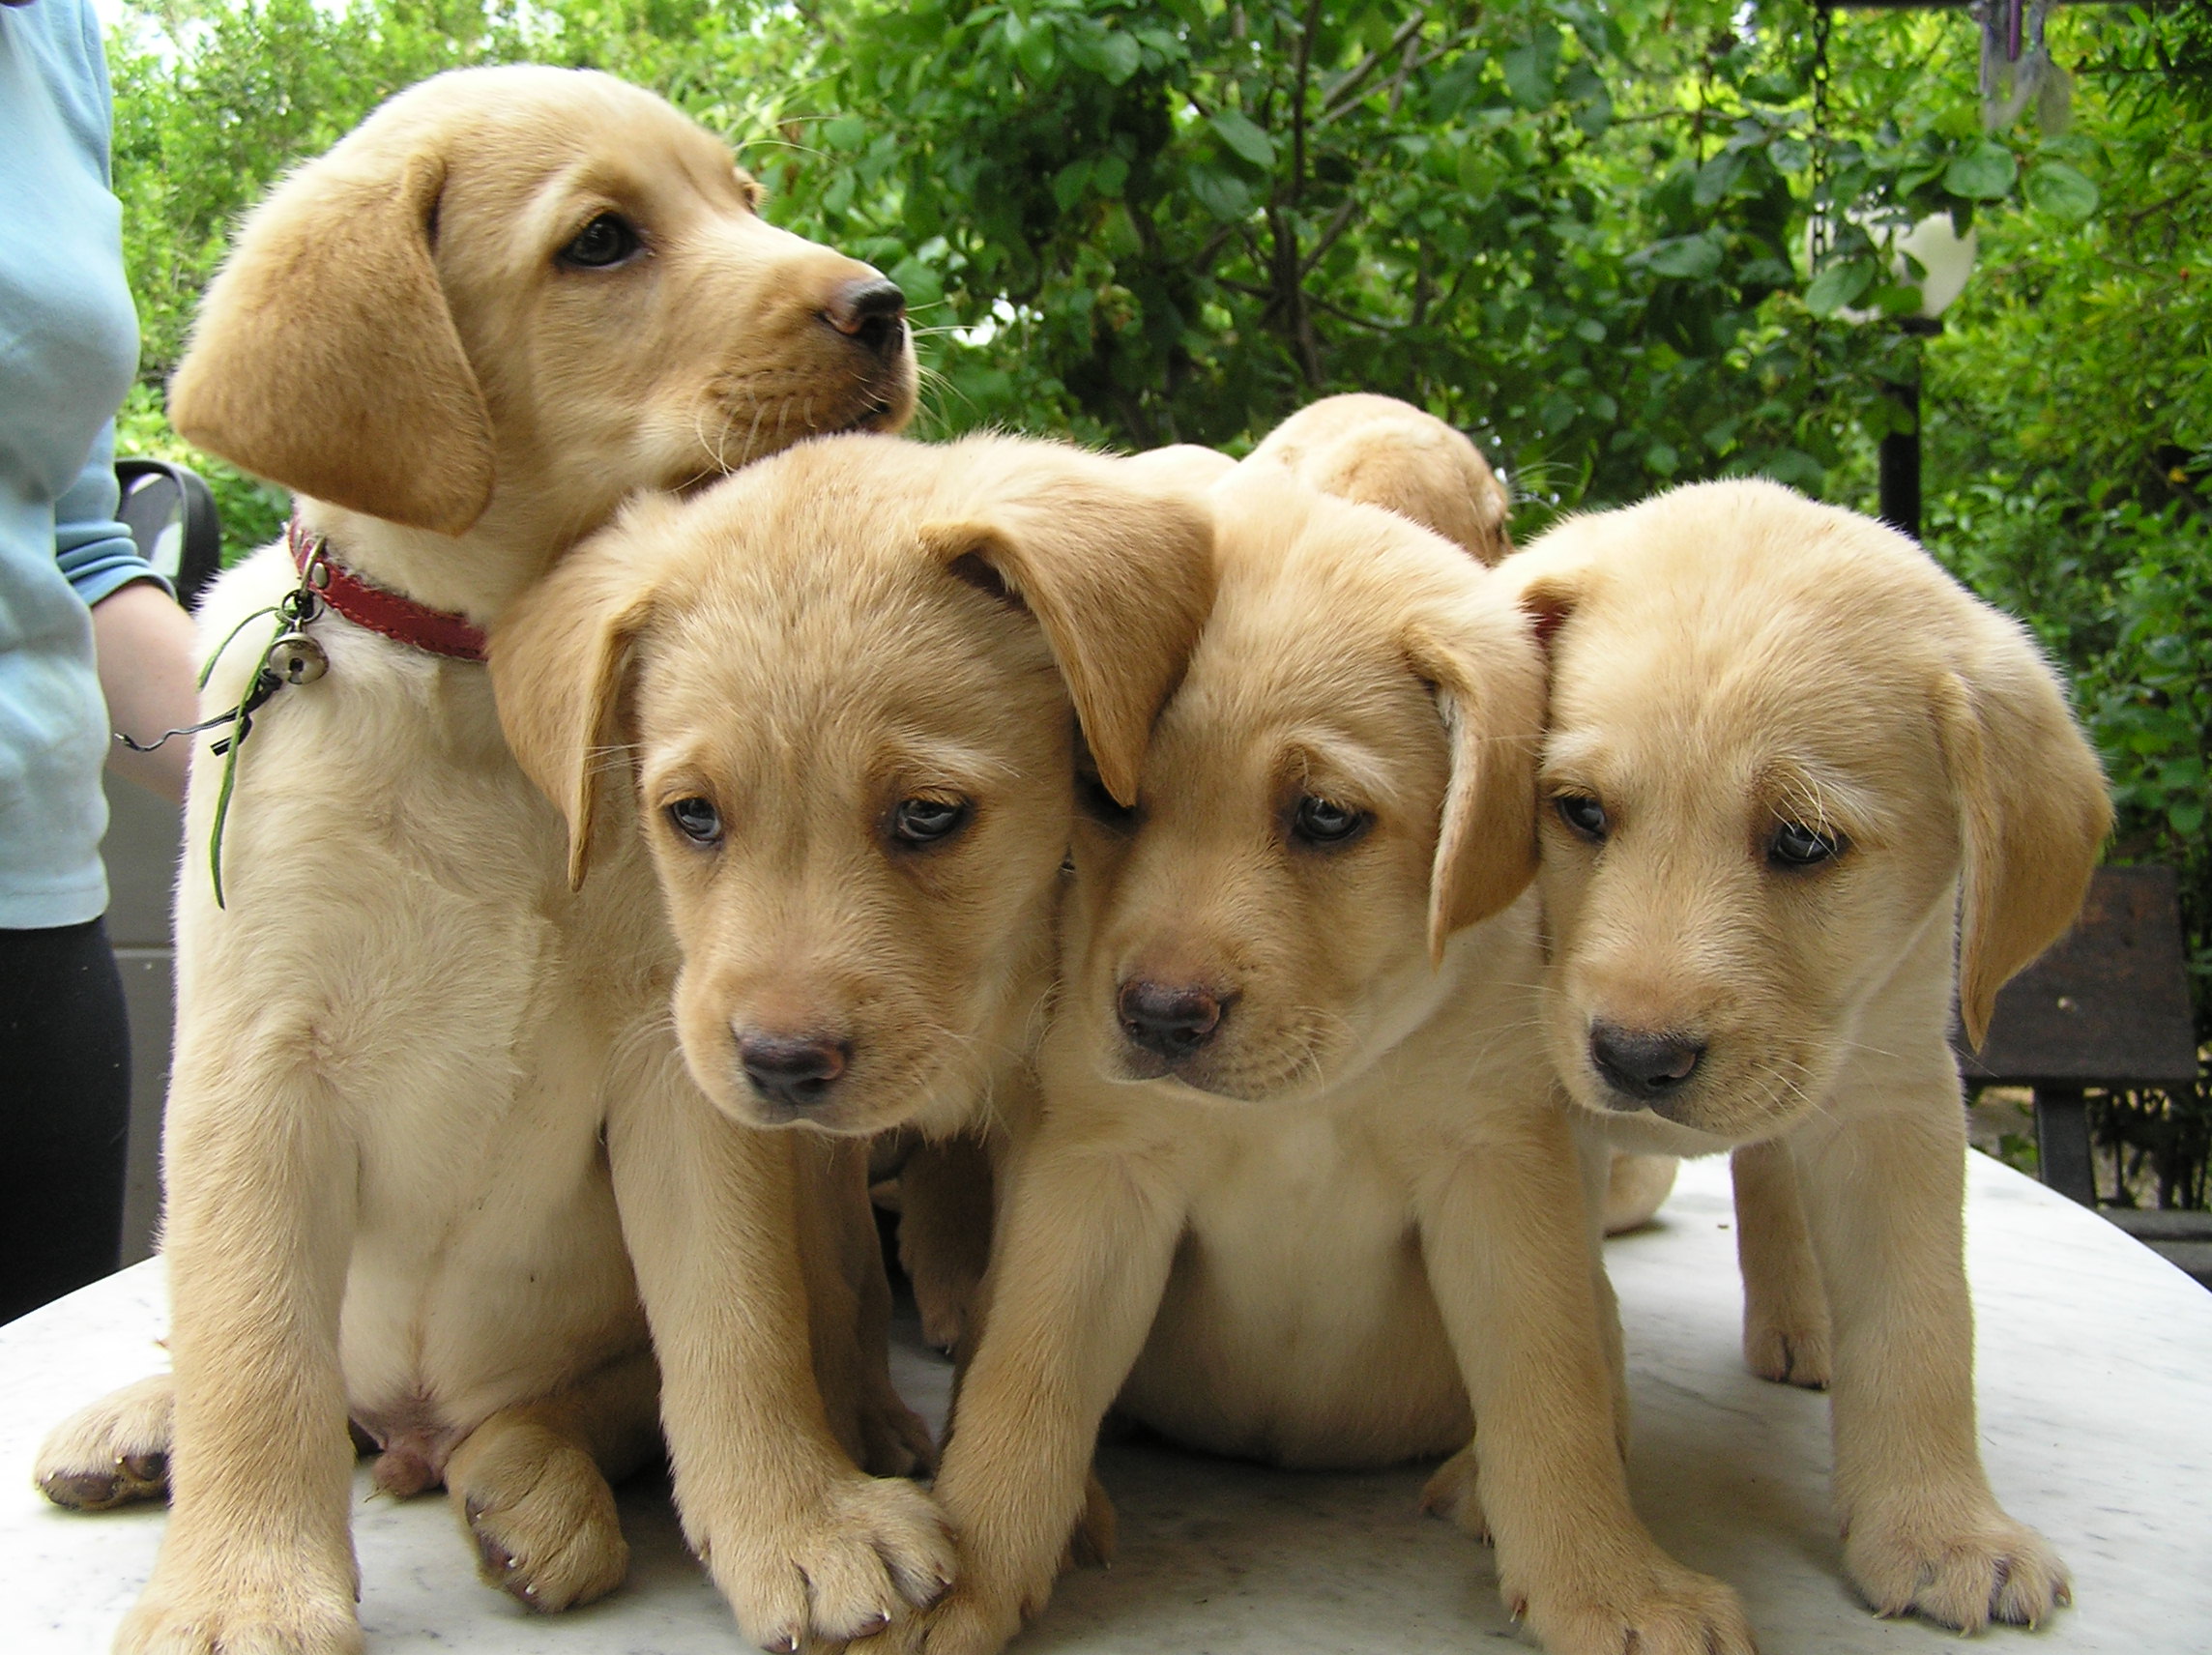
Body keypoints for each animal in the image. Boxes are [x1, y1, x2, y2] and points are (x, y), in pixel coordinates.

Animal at [34, 68, 950, 1654]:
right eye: (601, 241)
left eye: (743, 200)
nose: (883, 303)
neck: (487, 692)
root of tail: (420, 1420)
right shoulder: (252, 1073)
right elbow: (252, 1356)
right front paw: (239, 1591)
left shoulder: (682, 1068)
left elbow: (738, 1330)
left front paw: (798, 1522)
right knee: (280, 1378)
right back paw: (144, 1422)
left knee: (636, 1385)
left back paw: (544, 1490)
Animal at [1503, 476, 2106, 1628]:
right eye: (1579, 811)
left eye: (1802, 841)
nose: (1637, 1060)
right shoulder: (1537, 1102)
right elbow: (1565, 1315)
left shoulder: (1897, 1095)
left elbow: (1922, 1318)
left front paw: (1940, 1528)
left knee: (1772, 1170)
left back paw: (1801, 1322)